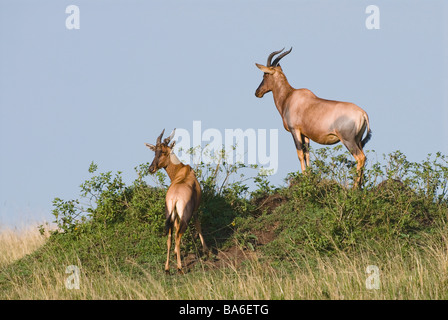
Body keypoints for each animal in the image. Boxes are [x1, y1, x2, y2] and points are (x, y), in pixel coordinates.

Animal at [145, 127, 208, 272]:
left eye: (162, 151)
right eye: (155, 151)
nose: (151, 168)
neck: (184, 171)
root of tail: (174, 197)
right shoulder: (194, 211)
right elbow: (198, 225)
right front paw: (207, 251)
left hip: (169, 214)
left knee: (169, 236)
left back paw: (167, 269)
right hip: (185, 216)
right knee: (178, 235)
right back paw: (179, 268)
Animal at [254, 47, 372, 188]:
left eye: (265, 75)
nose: (257, 92)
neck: (290, 96)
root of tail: (363, 113)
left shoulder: (295, 130)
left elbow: (300, 153)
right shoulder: (305, 134)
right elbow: (307, 154)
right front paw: (309, 178)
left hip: (348, 140)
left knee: (360, 158)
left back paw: (354, 188)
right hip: (358, 140)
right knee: (364, 157)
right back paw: (360, 187)